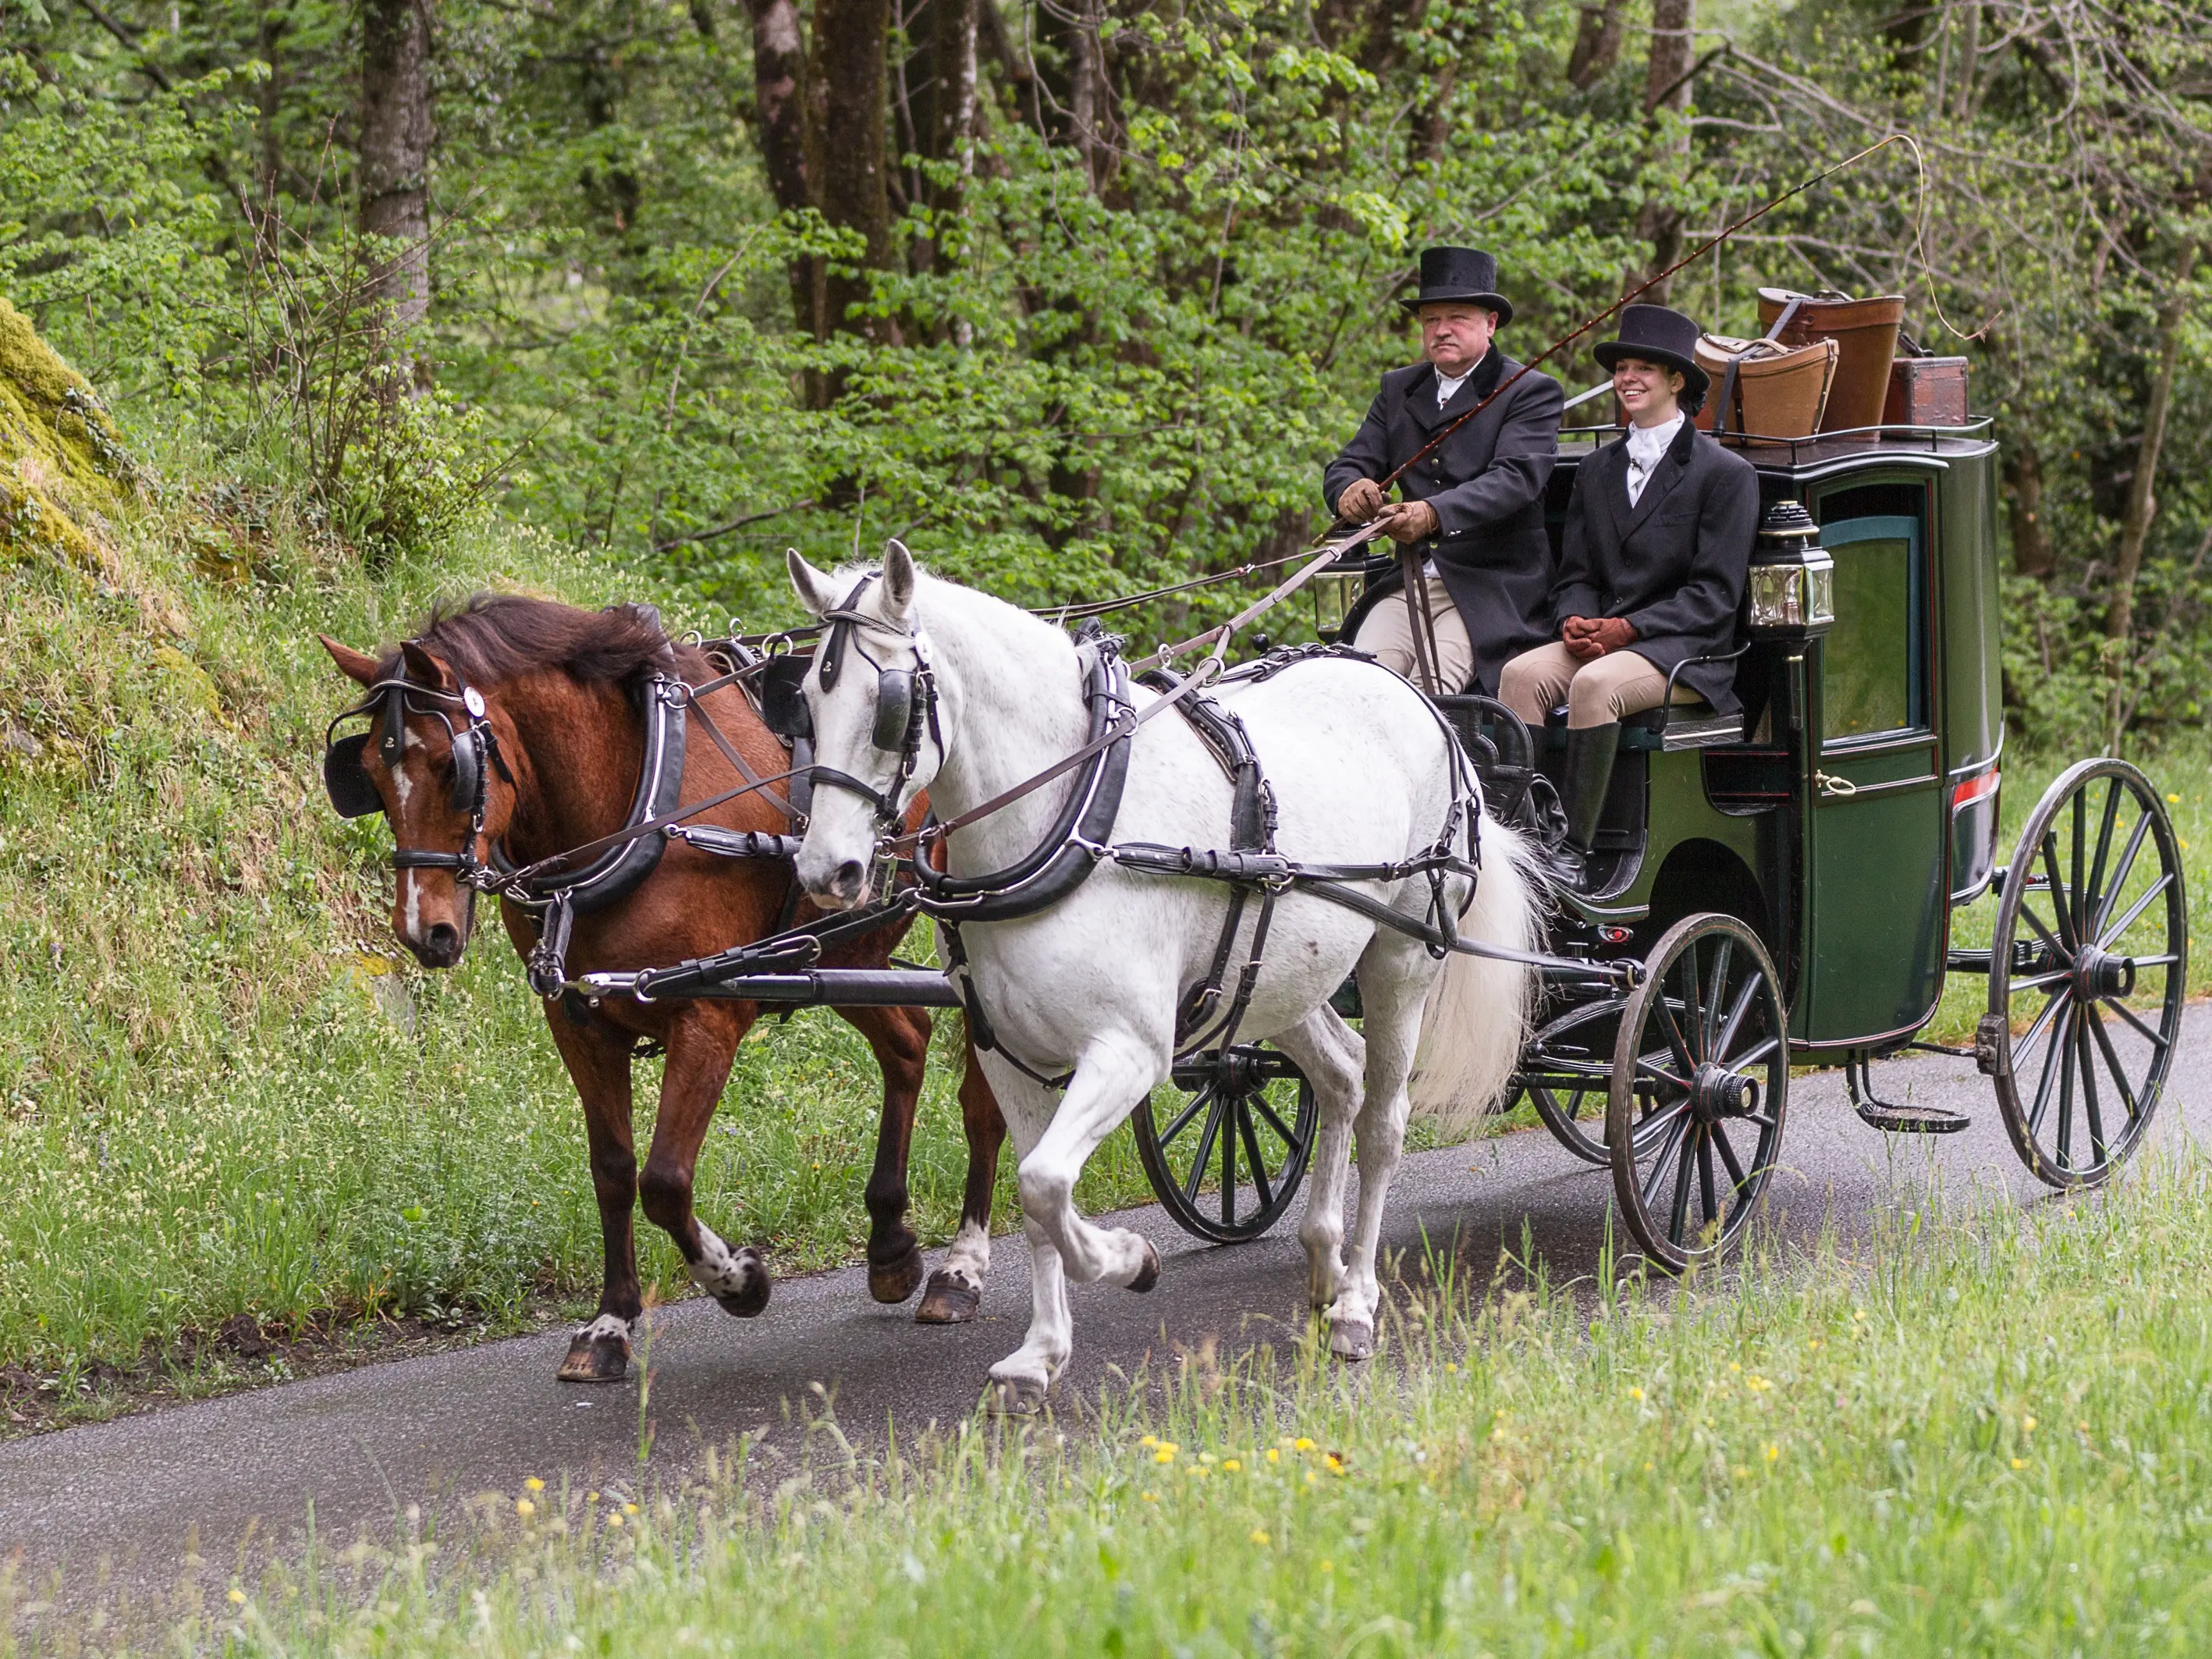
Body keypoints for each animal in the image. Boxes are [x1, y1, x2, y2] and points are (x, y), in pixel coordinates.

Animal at [317, 595, 1006, 1383]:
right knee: (907, 1041)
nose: (420, 929)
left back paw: (960, 1270)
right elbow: (614, 1172)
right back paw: (891, 1244)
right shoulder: (577, 1019)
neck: (638, 798)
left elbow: (666, 1181)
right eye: (367, 775)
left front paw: (737, 1279)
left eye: (446, 765)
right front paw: (609, 1323)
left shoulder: (708, 1013)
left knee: (981, 1102)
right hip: (840, 952)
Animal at [782, 543, 1544, 1412]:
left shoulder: (1130, 1049)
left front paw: (1127, 1259)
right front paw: (1039, 1355)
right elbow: (1034, 1196)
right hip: (1279, 975)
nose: (826, 869)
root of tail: (1420, 701)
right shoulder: (1009, 1055)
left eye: (890, 705)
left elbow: (1047, 1183)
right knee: (1340, 1077)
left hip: (1402, 957)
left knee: (1384, 1119)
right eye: (805, 701)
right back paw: (1324, 1262)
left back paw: (1356, 1301)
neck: (1072, 814)